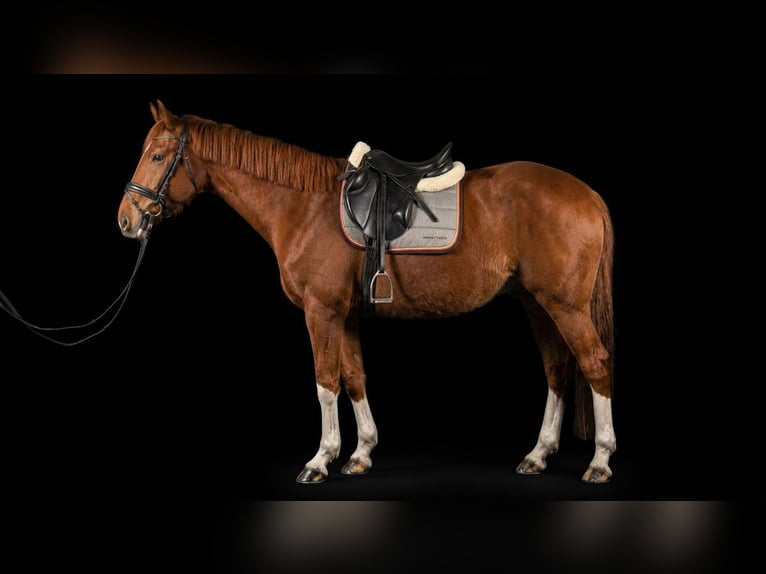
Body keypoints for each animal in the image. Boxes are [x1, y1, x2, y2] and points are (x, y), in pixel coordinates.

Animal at [117, 100, 616, 484]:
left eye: (158, 157)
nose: (126, 218)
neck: (304, 205)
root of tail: (587, 193)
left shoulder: (320, 311)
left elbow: (325, 382)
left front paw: (320, 459)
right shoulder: (346, 314)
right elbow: (354, 378)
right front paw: (359, 455)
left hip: (565, 306)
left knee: (593, 363)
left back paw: (599, 461)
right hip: (537, 303)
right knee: (557, 369)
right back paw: (537, 455)